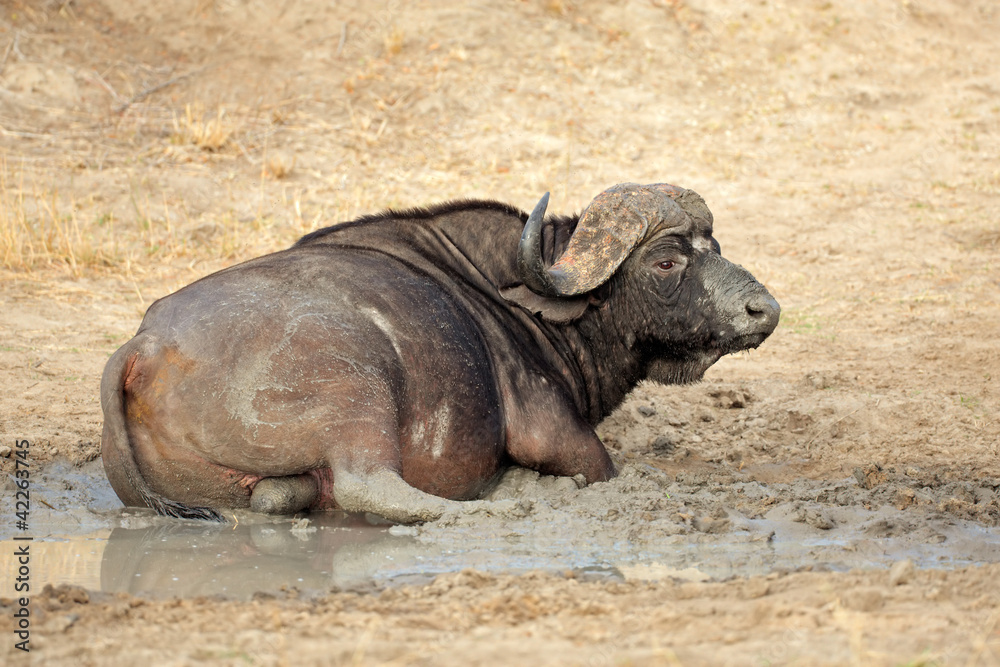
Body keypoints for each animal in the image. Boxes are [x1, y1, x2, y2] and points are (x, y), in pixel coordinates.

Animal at [100, 182, 780, 523]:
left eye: (715, 246)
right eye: (666, 260)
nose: (764, 310)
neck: (528, 299)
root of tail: (146, 344)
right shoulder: (559, 434)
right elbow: (602, 467)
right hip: (360, 388)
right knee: (368, 486)